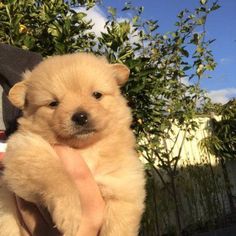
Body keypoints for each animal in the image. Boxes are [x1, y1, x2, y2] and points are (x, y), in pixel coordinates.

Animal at [0, 53, 146, 236]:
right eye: (53, 103)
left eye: (96, 95)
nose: (80, 116)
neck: (85, 149)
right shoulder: (26, 150)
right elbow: (57, 175)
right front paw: (69, 214)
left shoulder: (123, 188)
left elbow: (118, 228)